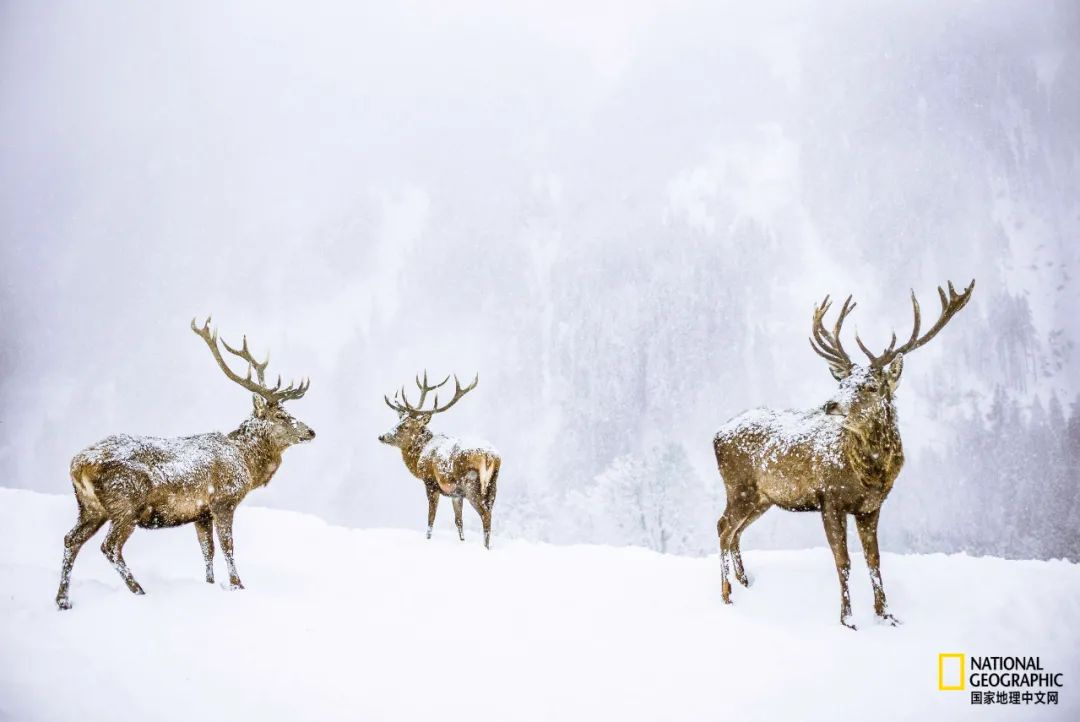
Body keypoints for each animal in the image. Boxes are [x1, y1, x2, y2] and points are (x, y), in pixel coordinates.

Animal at [54, 317, 313, 608]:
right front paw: (238, 585)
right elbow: (228, 546)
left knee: (71, 539)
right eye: (280, 416)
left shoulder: (201, 513)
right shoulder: (223, 500)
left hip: (89, 507)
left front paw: (210, 585)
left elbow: (207, 551)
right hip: (126, 503)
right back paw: (139, 591)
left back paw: (63, 600)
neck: (246, 464)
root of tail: (79, 465)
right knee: (109, 547)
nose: (311, 432)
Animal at [378, 371, 498, 546]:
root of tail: (491, 456)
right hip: (492, 486)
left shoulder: (431, 482)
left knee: (486, 515)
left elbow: (431, 519)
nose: (382, 436)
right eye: (398, 421)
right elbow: (458, 521)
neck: (419, 457)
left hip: (472, 483)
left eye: (405, 426)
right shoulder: (456, 494)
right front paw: (462, 541)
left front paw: (427, 539)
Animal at [712, 278, 976, 625]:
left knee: (736, 531)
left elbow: (874, 560)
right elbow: (844, 561)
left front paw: (886, 614)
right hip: (739, 487)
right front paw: (848, 619)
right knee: (723, 528)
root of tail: (716, 435)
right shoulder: (830, 499)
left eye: (870, 386)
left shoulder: (871, 507)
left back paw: (744, 583)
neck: (869, 474)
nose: (830, 404)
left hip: (762, 498)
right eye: (842, 384)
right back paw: (727, 594)